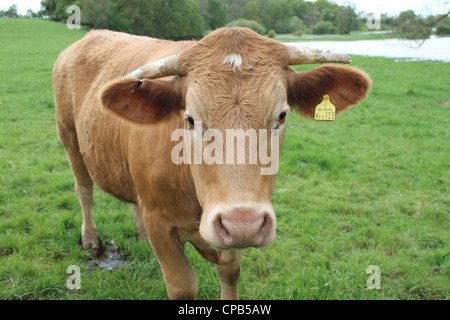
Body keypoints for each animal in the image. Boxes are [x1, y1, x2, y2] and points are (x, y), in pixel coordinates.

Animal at [52, 27, 370, 300]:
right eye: (190, 119)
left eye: (282, 116)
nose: (243, 224)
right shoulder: (159, 223)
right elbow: (183, 285)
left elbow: (230, 273)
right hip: (68, 136)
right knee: (84, 190)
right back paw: (91, 240)